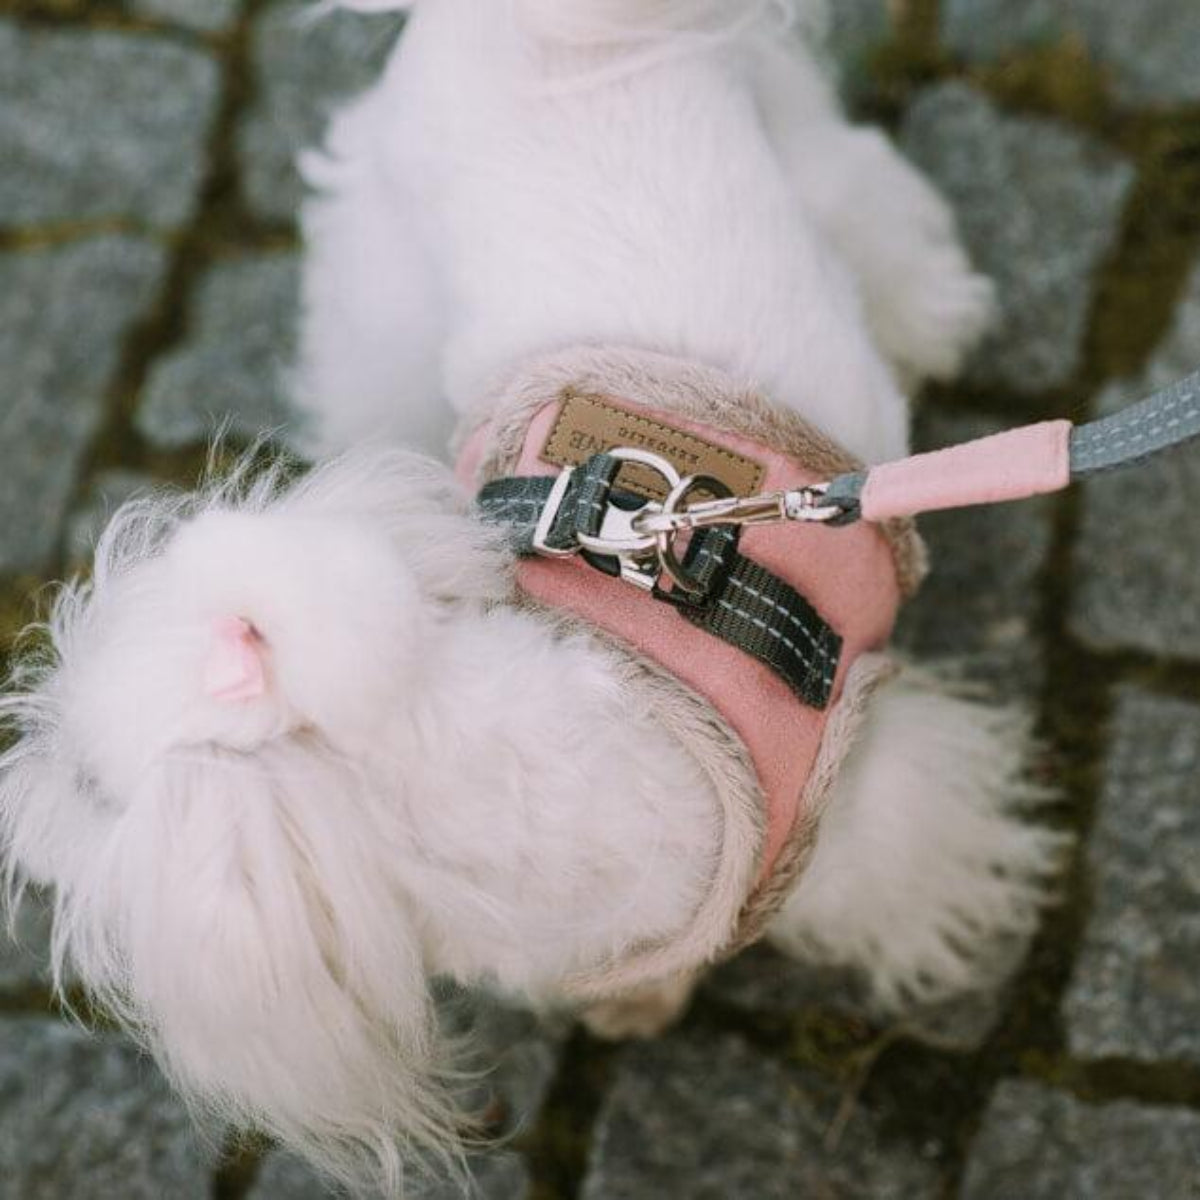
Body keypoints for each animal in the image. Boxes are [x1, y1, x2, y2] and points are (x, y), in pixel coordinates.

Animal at [4, 2, 1065, 1190]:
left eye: (87, 786)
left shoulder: (871, 791)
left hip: (802, 162)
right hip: (388, 300)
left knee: (881, 221)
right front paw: (644, 998)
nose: (15, 828)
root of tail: (546, 36)